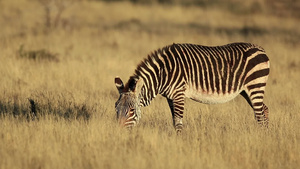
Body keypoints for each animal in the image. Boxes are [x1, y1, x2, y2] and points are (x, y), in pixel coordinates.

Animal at [115, 42, 270, 133]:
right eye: (116, 109)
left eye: (131, 110)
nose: (119, 134)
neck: (163, 73)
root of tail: (261, 49)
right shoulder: (170, 97)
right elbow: (174, 120)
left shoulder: (179, 93)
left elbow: (178, 122)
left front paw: (179, 144)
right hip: (246, 91)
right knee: (264, 109)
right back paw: (265, 135)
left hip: (255, 85)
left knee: (259, 114)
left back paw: (260, 138)